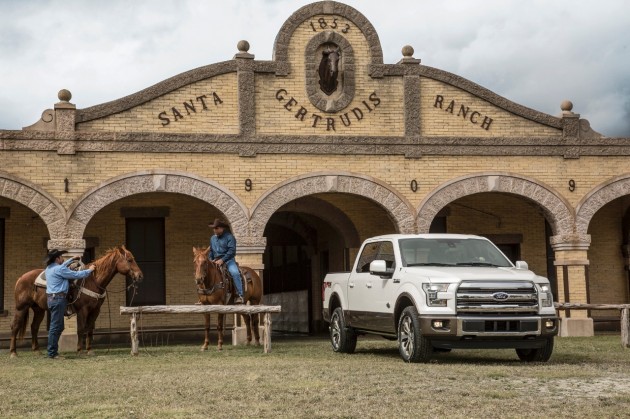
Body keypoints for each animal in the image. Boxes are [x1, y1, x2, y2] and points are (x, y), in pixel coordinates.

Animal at [9, 248, 144, 360]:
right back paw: (13, 352)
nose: (140, 275)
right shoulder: (82, 310)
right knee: (15, 327)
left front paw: (89, 350)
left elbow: (89, 328)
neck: (92, 281)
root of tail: (21, 278)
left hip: (39, 310)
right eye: (129, 260)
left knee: (34, 327)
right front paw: (79, 350)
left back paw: (36, 351)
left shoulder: (95, 310)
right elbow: (81, 329)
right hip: (21, 308)